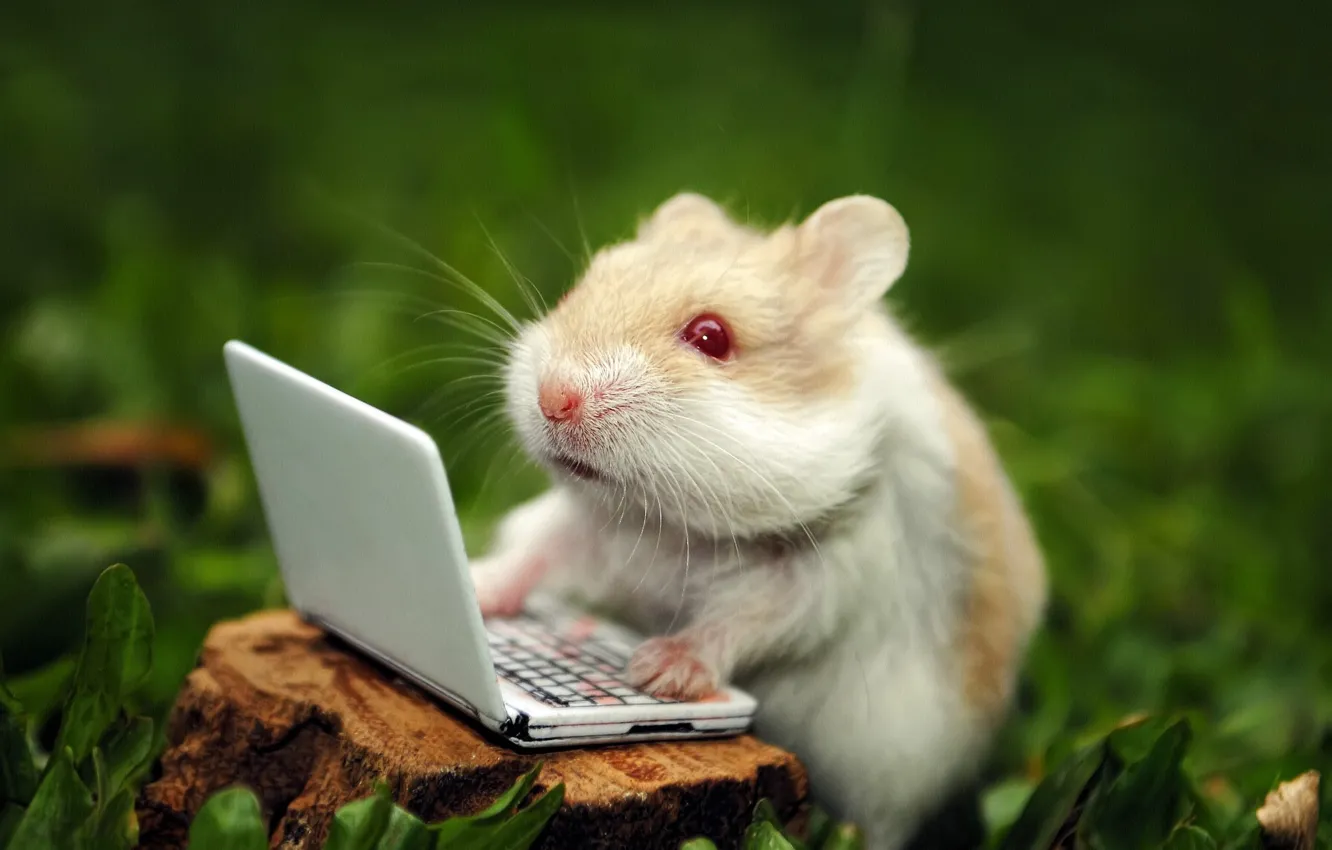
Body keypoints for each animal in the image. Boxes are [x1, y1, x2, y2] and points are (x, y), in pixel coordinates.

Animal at [468, 192, 1047, 850]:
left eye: (711, 336)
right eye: (575, 292)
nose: (553, 398)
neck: (671, 522)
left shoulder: (821, 576)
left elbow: (746, 616)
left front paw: (659, 672)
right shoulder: (592, 529)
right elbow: (534, 554)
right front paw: (471, 585)